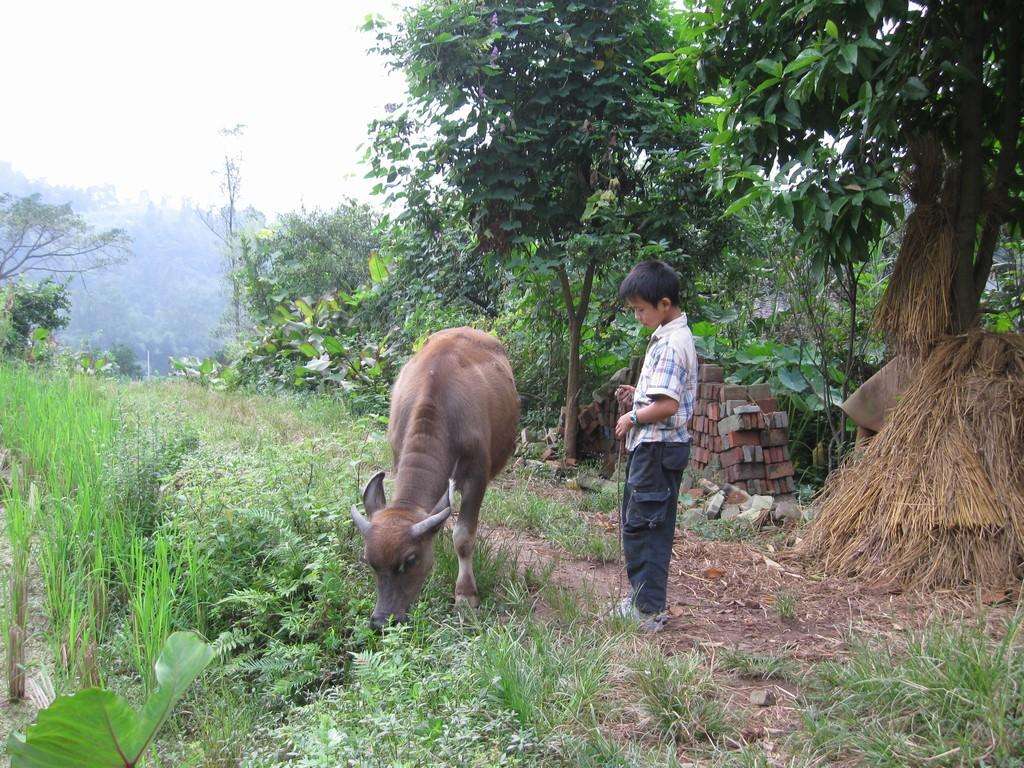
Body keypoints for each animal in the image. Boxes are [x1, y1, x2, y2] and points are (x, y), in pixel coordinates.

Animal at [350, 327, 520, 626]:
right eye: (369, 561)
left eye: (410, 560)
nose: (382, 620)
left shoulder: (477, 477)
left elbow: (463, 537)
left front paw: (465, 595)